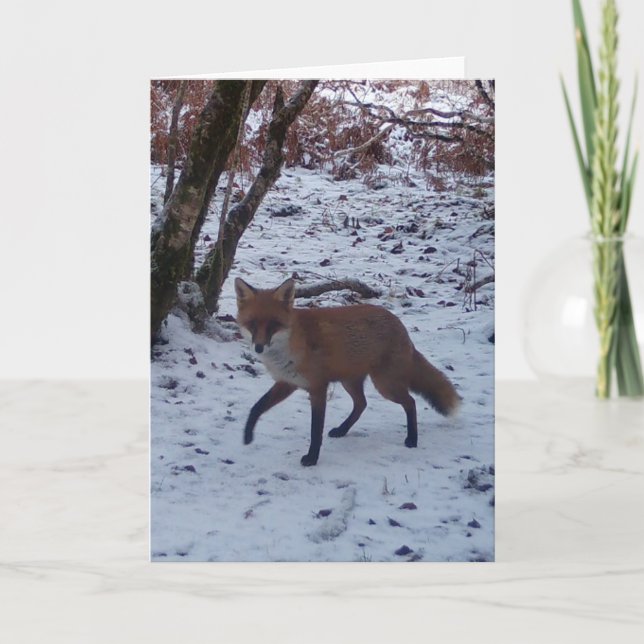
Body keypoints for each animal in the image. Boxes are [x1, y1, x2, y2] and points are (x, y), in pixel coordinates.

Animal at [235, 277, 460, 466]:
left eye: (273, 325)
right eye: (252, 324)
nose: (259, 348)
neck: (290, 345)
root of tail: (399, 324)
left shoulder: (318, 387)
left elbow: (315, 429)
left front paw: (312, 458)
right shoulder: (288, 382)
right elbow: (257, 407)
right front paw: (247, 435)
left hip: (385, 385)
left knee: (410, 402)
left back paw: (412, 439)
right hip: (350, 381)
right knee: (362, 404)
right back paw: (342, 430)